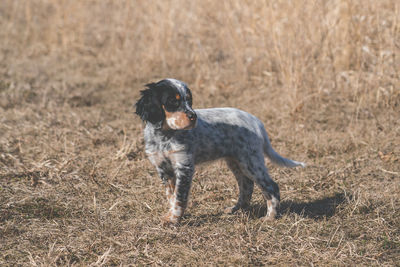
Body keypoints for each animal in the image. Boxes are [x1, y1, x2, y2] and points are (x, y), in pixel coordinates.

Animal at [135, 79, 306, 226]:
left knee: (271, 186)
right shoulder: (164, 169)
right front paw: (171, 216)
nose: (193, 116)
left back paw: (270, 217)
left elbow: (179, 197)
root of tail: (256, 121)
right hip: (236, 161)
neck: (164, 135)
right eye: (173, 101)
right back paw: (236, 209)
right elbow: (171, 196)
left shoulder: (184, 166)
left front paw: (174, 219)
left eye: (189, 101)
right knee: (246, 185)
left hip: (251, 161)